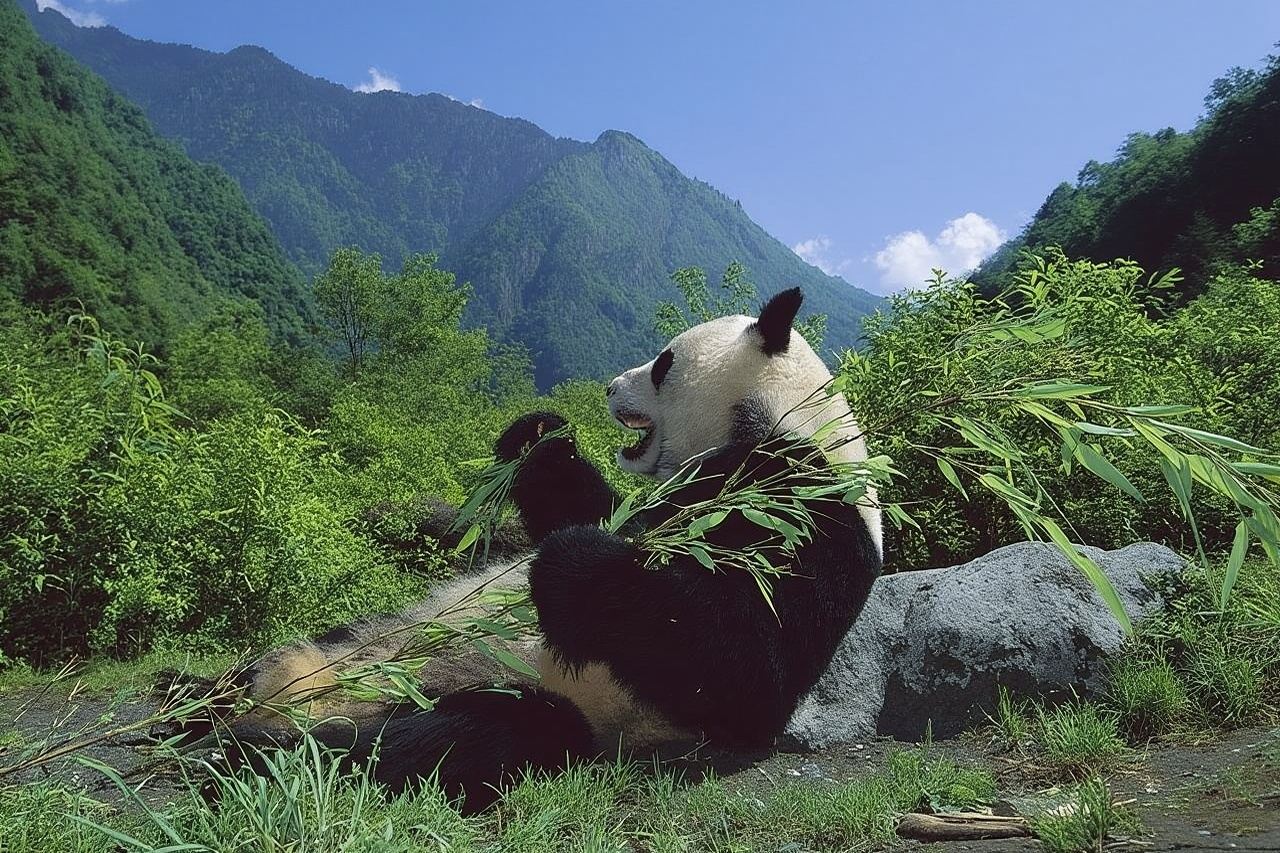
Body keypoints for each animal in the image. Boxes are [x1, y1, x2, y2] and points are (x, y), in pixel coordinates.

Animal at [216, 287, 883, 812]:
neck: (780, 419)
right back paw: (217, 703)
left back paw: (258, 750)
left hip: (540, 698)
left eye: (664, 363)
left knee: (456, 739)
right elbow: (590, 504)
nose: (609, 387)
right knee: (282, 662)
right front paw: (538, 433)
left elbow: (740, 659)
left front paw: (575, 559)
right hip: (371, 631)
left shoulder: (806, 508)